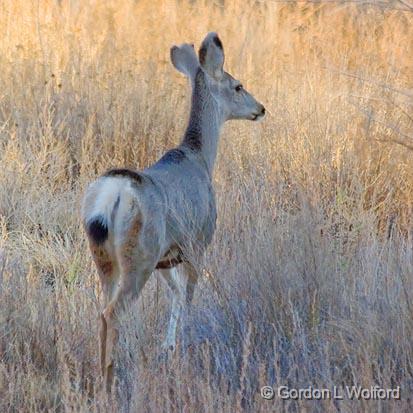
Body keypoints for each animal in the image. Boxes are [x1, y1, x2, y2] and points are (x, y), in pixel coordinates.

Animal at [81, 31, 264, 386]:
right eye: (238, 86)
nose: (260, 108)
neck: (199, 157)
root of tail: (112, 194)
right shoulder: (197, 242)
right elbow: (189, 295)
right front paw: (183, 345)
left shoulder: (166, 258)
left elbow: (176, 295)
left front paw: (168, 346)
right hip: (139, 257)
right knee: (112, 313)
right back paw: (109, 380)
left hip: (106, 258)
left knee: (100, 309)